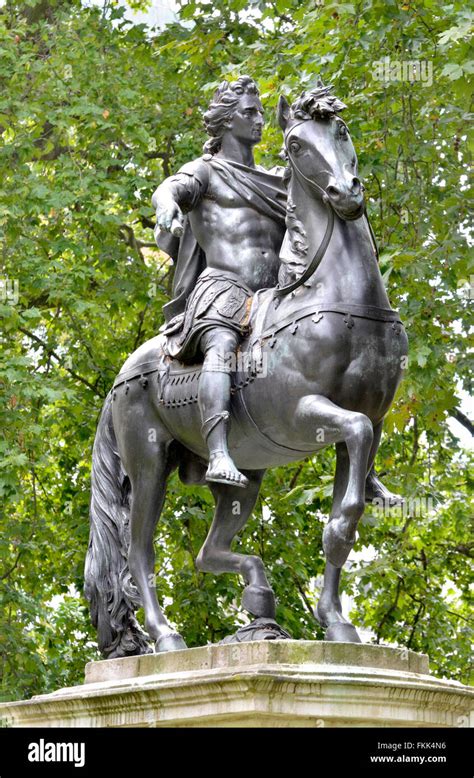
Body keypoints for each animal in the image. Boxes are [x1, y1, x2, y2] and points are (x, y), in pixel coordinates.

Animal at [84, 83, 408, 656]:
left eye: (341, 130)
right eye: (297, 144)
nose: (346, 192)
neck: (339, 302)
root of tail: (123, 376)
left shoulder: (366, 427)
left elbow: (345, 512)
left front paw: (335, 622)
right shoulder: (307, 414)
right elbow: (352, 440)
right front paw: (168, 213)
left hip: (244, 484)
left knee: (207, 551)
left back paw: (258, 595)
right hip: (148, 463)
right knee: (140, 551)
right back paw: (167, 636)